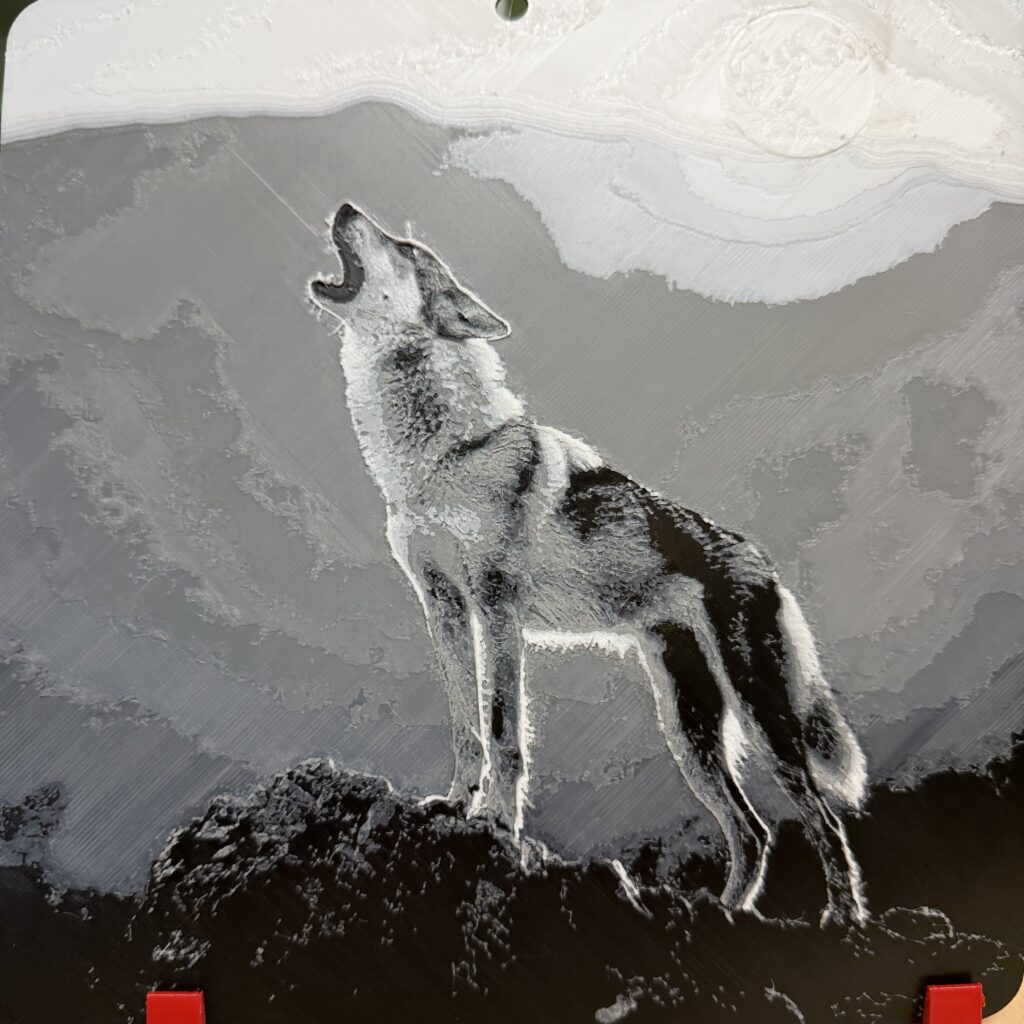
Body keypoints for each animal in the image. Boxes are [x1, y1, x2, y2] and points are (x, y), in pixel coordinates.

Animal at [308, 203, 869, 926]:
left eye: (403, 247)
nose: (346, 208)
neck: (442, 457)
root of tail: (764, 562)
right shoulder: (444, 610)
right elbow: (465, 729)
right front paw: (456, 806)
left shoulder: (496, 611)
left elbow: (503, 734)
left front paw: (497, 825)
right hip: (689, 733)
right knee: (753, 830)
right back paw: (721, 913)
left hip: (762, 723)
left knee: (822, 819)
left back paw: (843, 921)